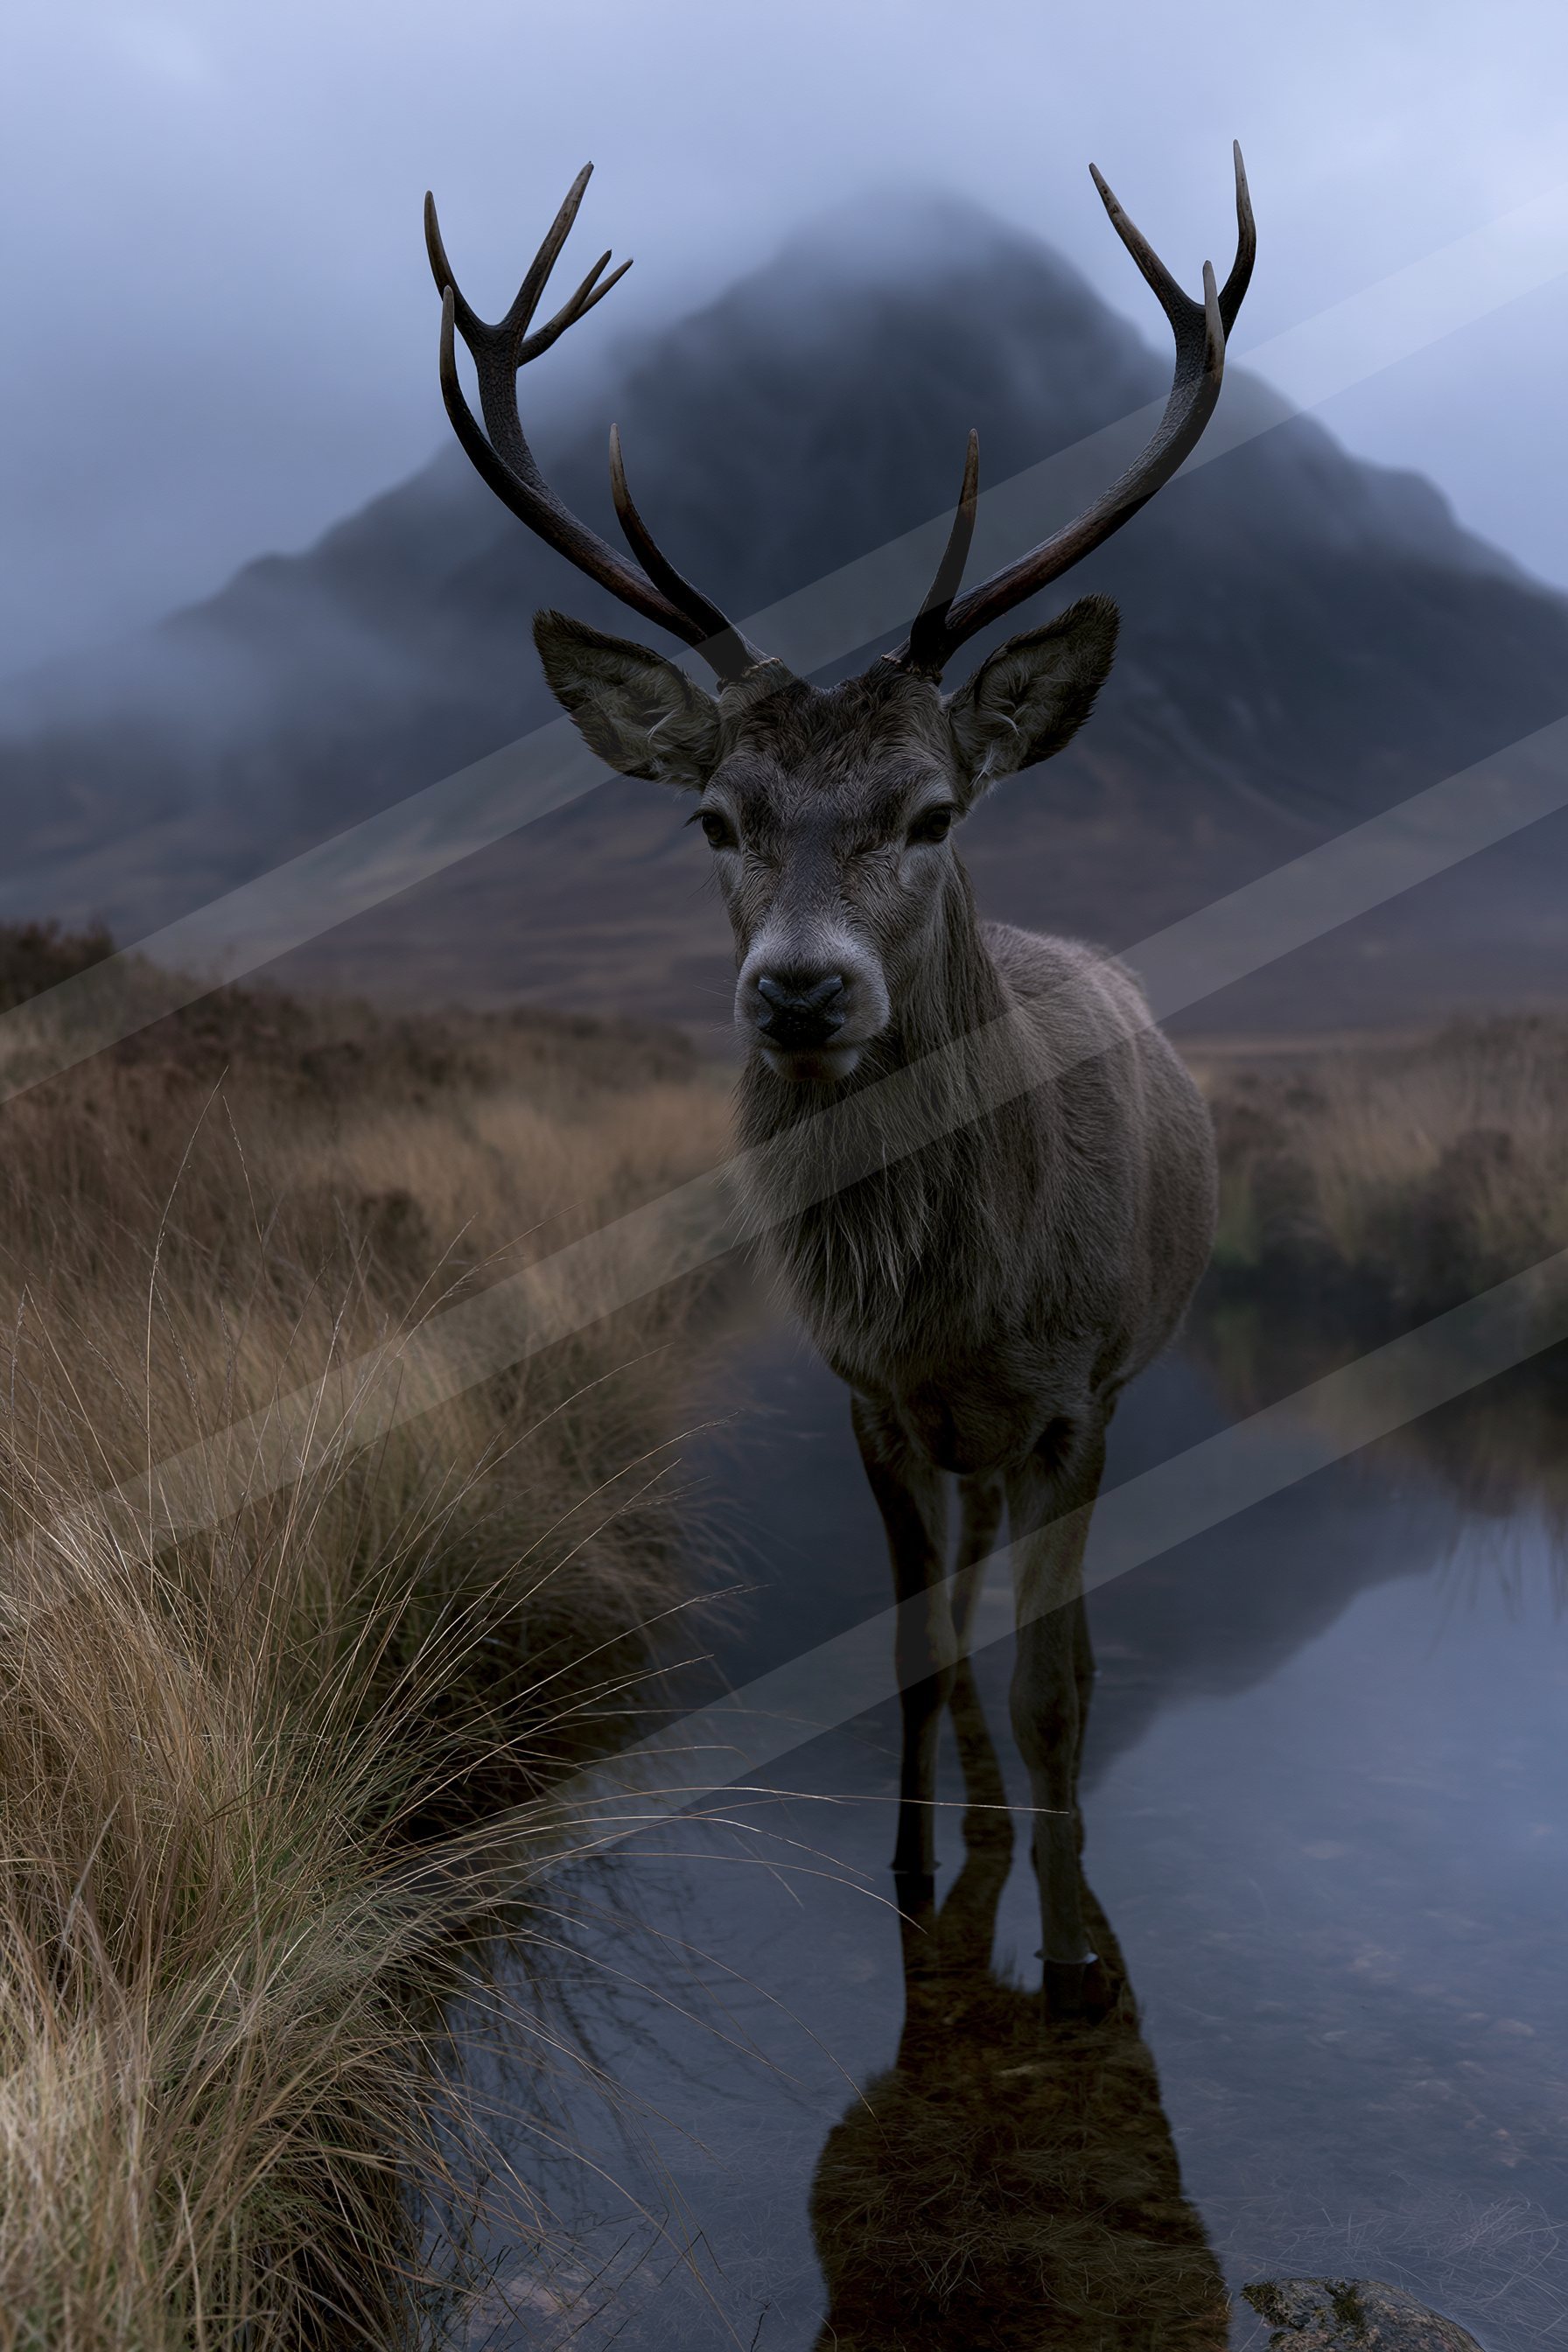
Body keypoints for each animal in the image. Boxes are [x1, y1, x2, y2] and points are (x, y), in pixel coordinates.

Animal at [426, 150, 1253, 2005]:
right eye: (712, 815)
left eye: (932, 809)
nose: (800, 989)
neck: (961, 1297)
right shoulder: (867, 1396)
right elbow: (910, 1659)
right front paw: (905, 1874)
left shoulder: (1080, 1387)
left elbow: (1054, 1681)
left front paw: (1070, 1955)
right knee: (955, 1610)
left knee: (1031, 1637)